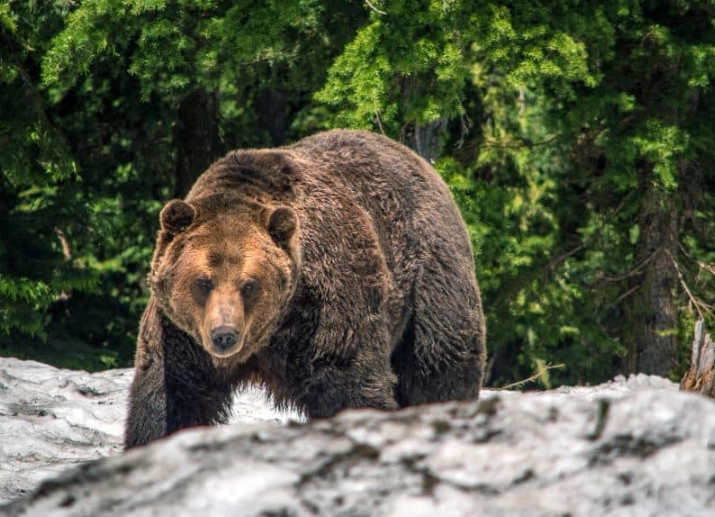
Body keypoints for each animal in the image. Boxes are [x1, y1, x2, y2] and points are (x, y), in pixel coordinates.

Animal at [124, 129, 486, 449]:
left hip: (430, 274)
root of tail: (416, 160)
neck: (269, 332)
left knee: (440, 359)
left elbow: (350, 384)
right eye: (203, 281)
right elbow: (168, 401)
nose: (224, 335)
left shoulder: (325, 310)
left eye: (249, 284)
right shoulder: (180, 336)